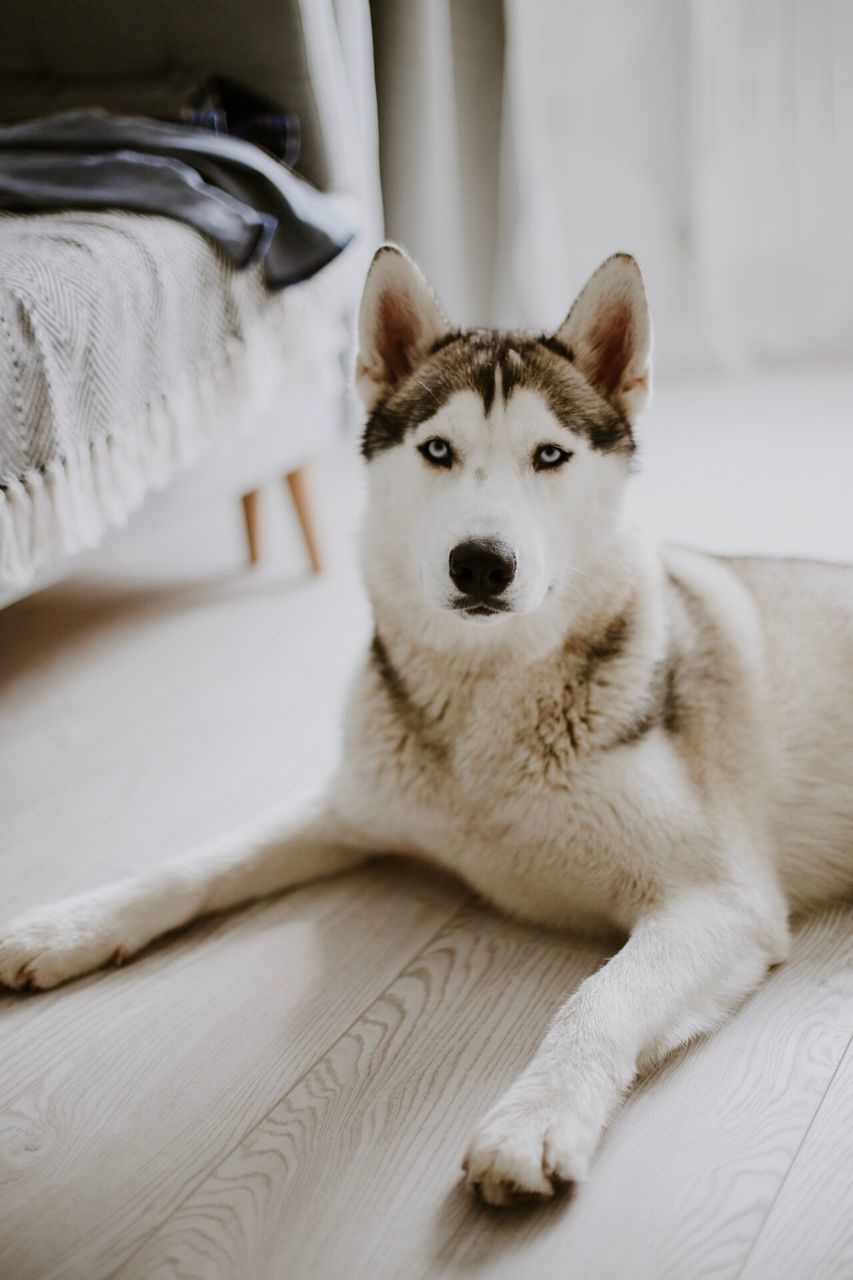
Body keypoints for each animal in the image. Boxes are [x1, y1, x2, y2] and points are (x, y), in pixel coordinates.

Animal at [3, 241, 845, 1208]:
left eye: (549, 455)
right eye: (437, 449)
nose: (481, 563)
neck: (483, 710)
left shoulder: (719, 901)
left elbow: (598, 998)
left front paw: (535, 1117)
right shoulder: (349, 807)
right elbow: (196, 865)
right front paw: (68, 928)